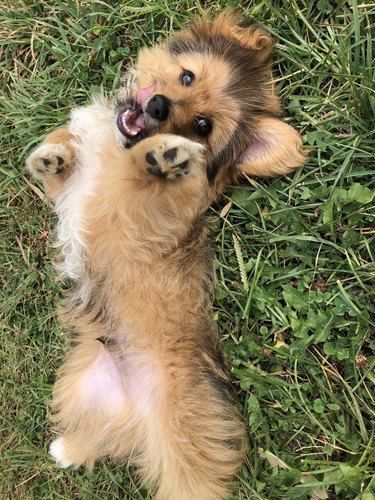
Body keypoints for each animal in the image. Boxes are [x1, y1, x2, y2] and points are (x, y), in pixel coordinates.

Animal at [27, 9, 308, 498]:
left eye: (203, 126)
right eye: (186, 76)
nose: (158, 106)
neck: (115, 146)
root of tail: (138, 408)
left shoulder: (141, 222)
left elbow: (145, 187)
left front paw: (161, 159)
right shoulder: (74, 194)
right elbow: (65, 162)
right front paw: (53, 154)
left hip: (182, 432)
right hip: (85, 385)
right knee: (104, 435)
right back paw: (68, 449)